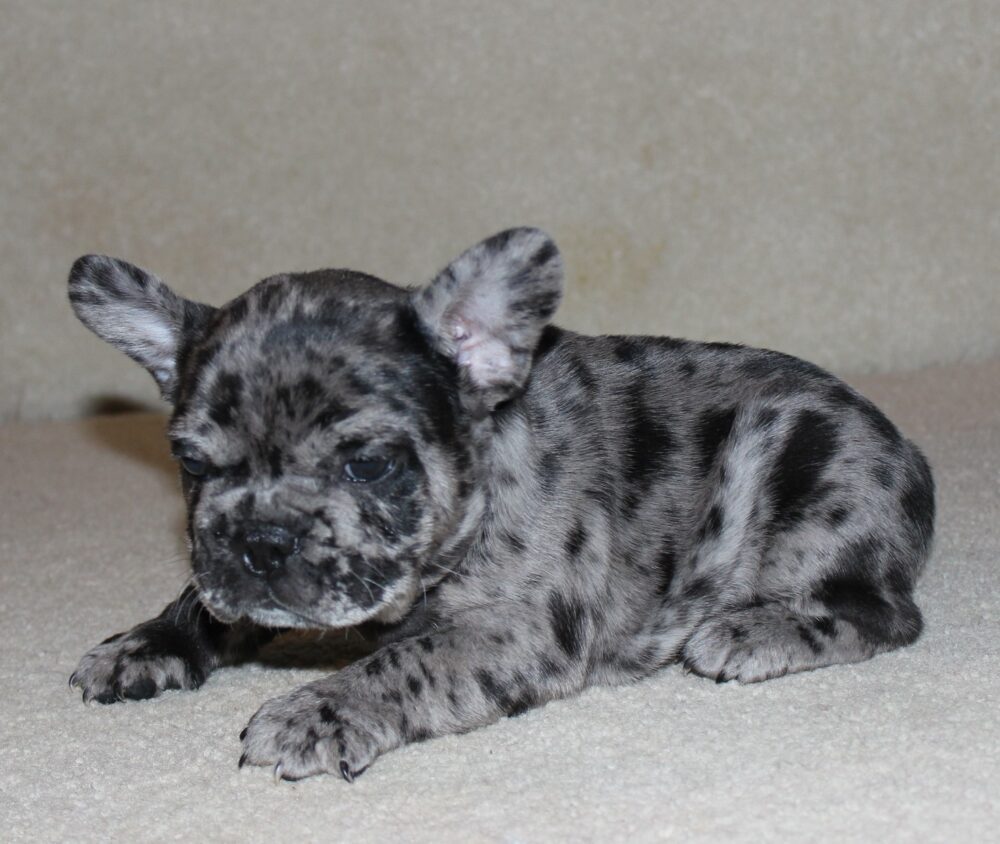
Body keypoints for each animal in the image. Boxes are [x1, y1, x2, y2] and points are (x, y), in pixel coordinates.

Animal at [67, 228, 935, 781]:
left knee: (883, 614)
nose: (263, 542)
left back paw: (755, 631)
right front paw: (148, 641)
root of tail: (908, 452)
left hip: (792, 459)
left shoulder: (517, 629)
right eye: (190, 462)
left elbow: (403, 660)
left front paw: (319, 709)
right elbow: (207, 597)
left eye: (369, 465)